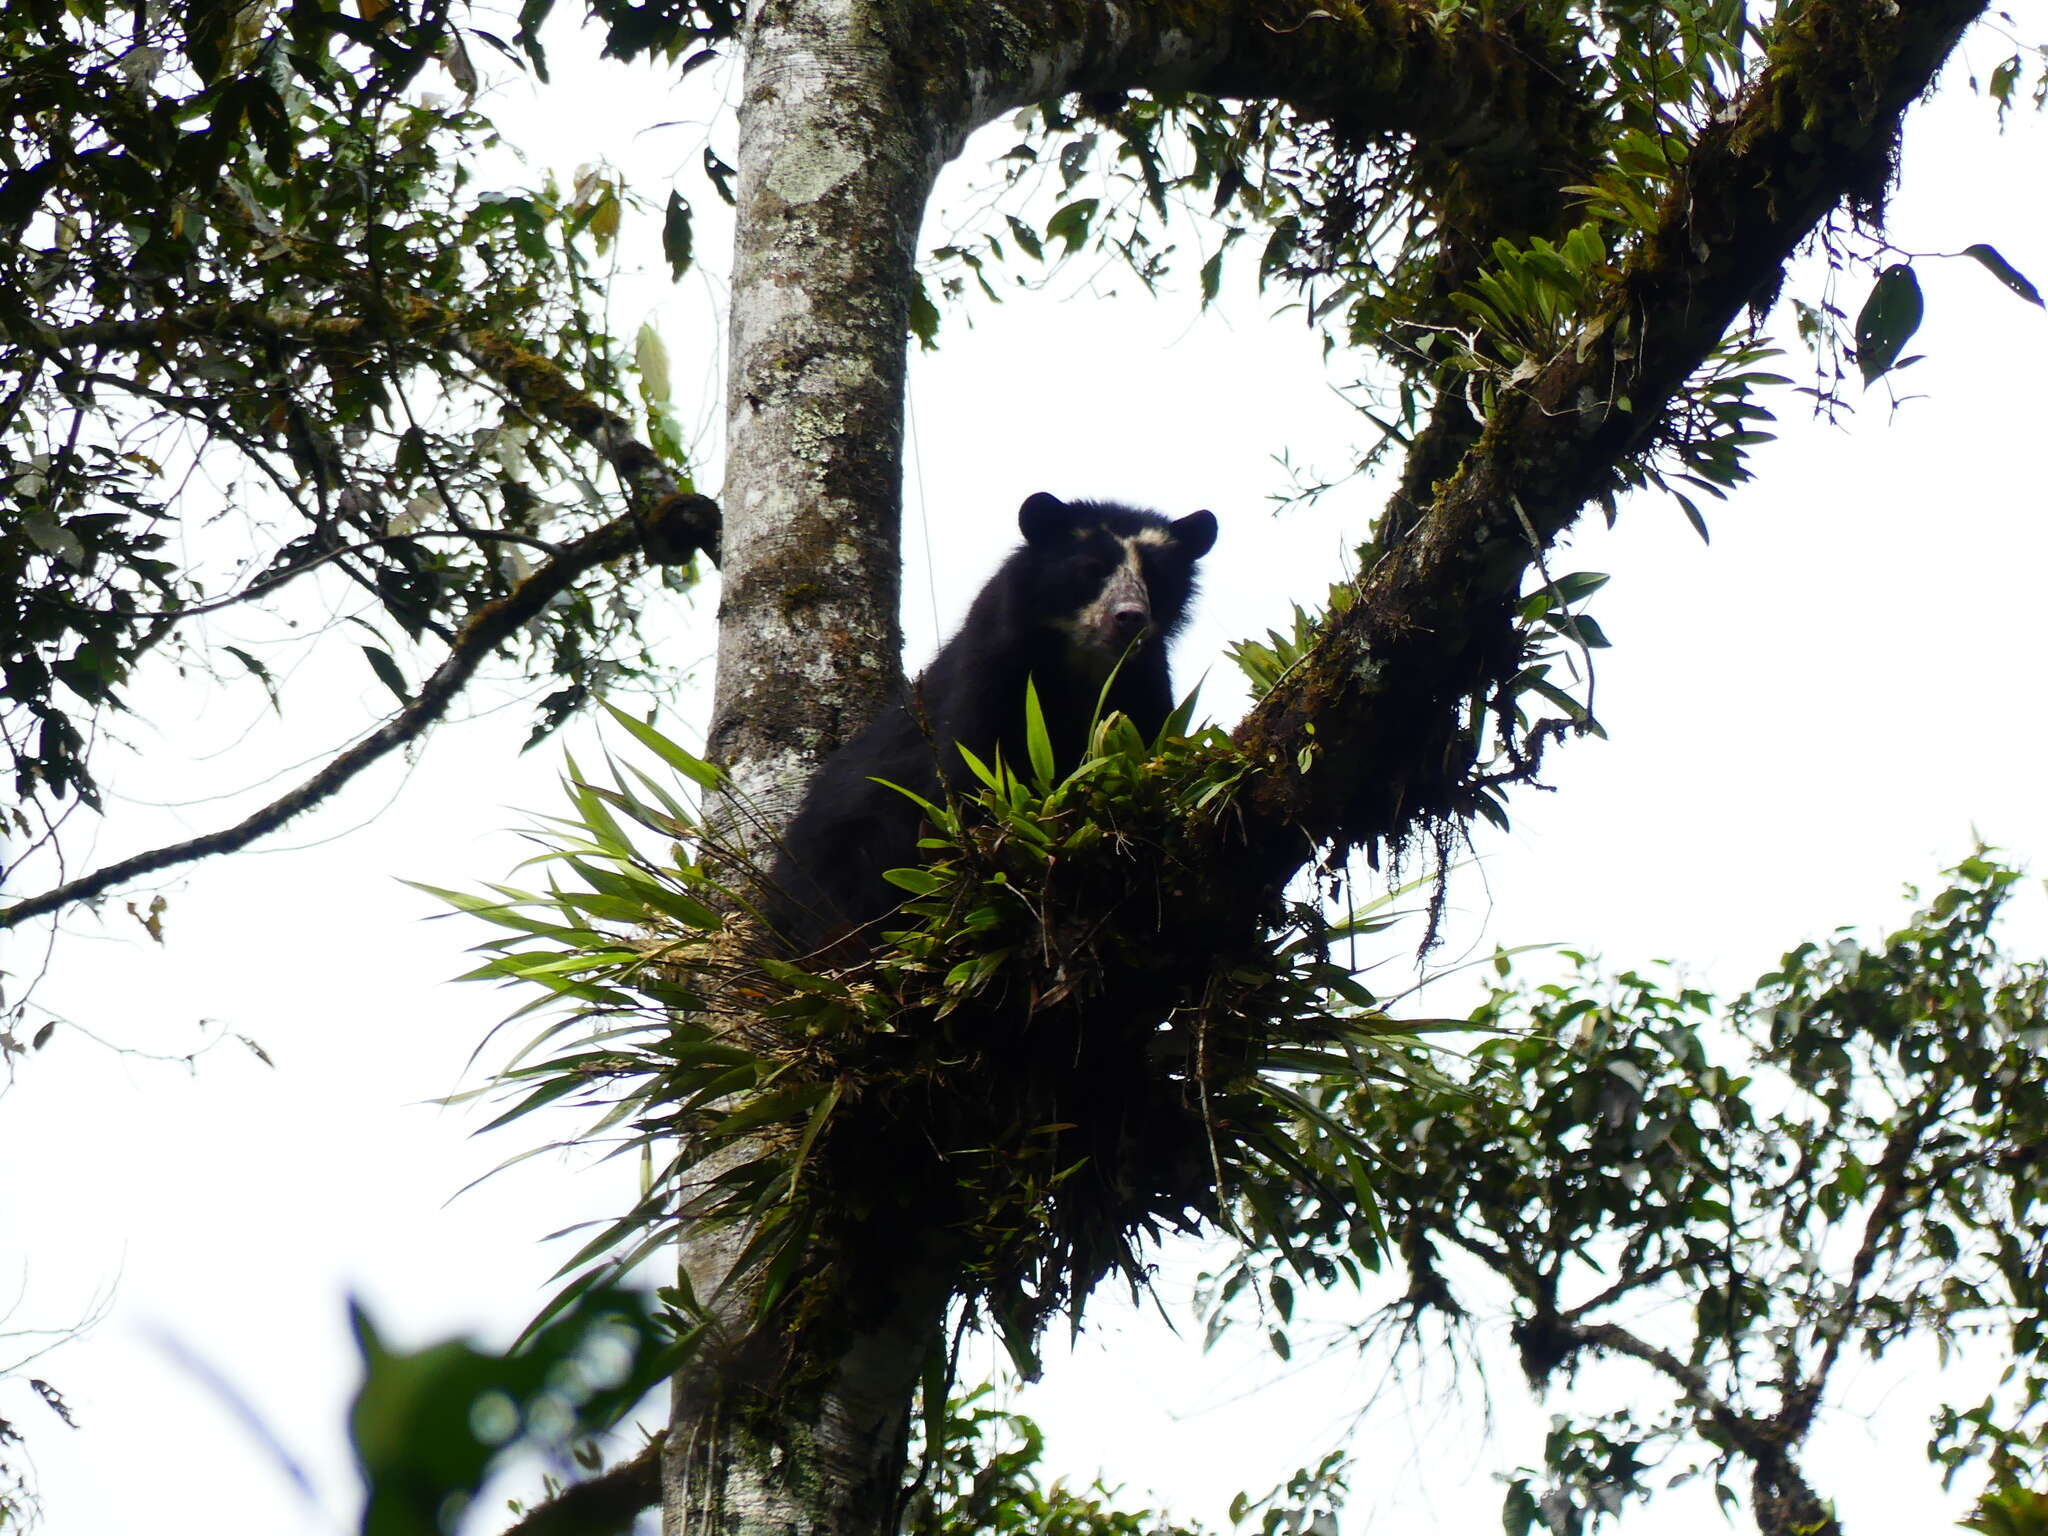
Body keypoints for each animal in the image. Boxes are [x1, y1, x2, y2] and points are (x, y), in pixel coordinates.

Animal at [765, 493, 1212, 958]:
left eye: (1156, 576)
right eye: (1090, 568)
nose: (1130, 618)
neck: (1082, 661)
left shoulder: (1142, 684)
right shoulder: (989, 676)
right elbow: (968, 783)